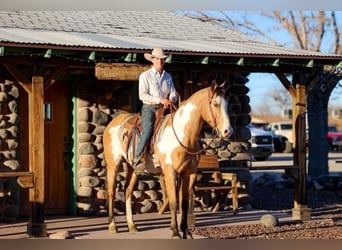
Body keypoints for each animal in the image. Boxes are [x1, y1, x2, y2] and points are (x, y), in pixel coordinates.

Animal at [103, 79, 234, 238]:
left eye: (228, 104)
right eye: (215, 104)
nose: (228, 131)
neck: (182, 135)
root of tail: (111, 124)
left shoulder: (189, 173)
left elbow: (183, 203)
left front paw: (186, 232)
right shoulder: (170, 172)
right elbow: (173, 202)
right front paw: (175, 233)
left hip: (132, 167)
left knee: (127, 190)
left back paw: (132, 226)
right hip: (113, 164)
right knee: (111, 191)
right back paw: (112, 226)